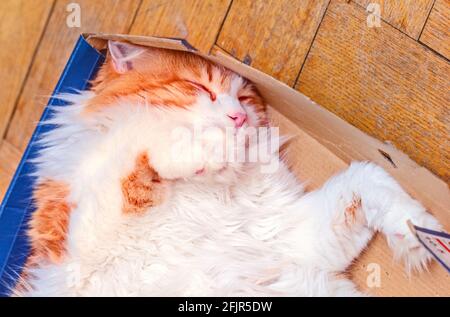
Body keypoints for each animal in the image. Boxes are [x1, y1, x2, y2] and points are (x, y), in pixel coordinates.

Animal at [14, 40, 442, 296]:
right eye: (200, 89)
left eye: (246, 99)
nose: (238, 118)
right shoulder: (78, 260)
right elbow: (137, 138)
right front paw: (205, 148)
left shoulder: (295, 237)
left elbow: (369, 177)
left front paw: (420, 235)